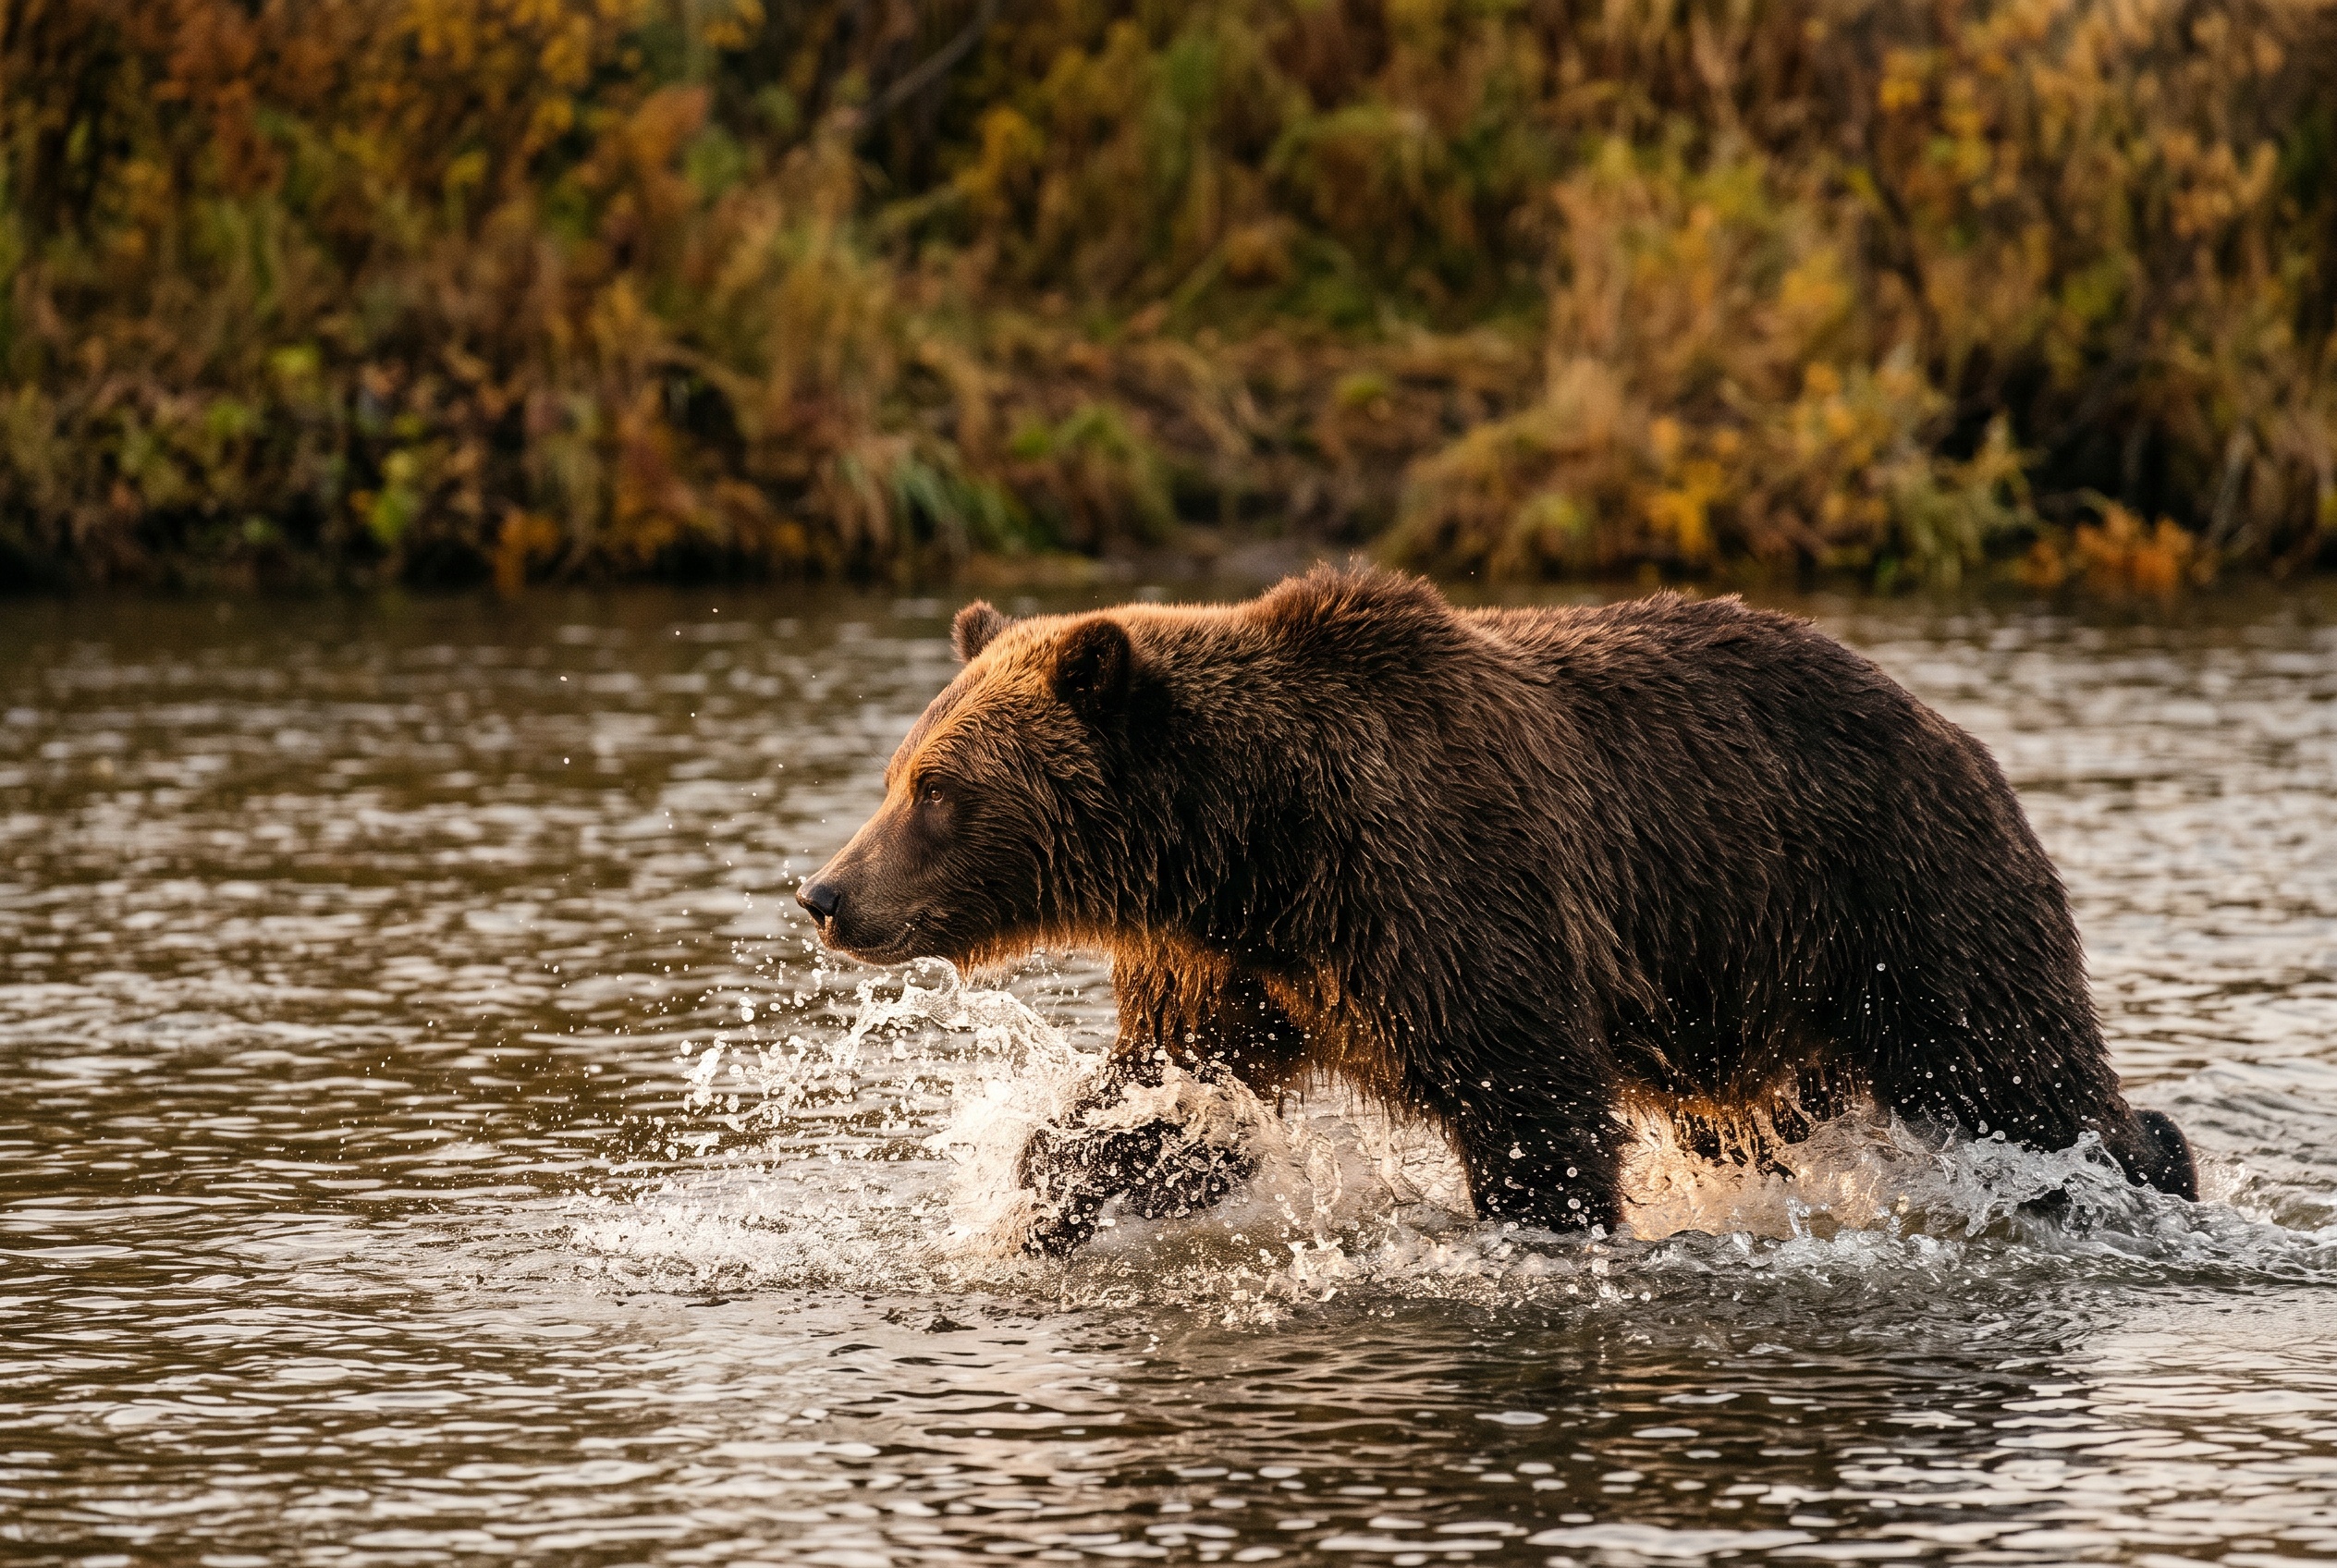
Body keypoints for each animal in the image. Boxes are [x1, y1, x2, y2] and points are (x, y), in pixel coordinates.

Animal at [796, 567, 2197, 1252]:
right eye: (897, 771)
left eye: (938, 790)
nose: (825, 895)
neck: (1256, 845)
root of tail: (1959, 734)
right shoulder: (1233, 972)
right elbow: (1169, 1098)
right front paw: (1043, 1198)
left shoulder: (1449, 890)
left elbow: (1531, 1104)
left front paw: (1539, 1229)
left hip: (1898, 901)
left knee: (2017, 1072)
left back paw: (2137, 1173)